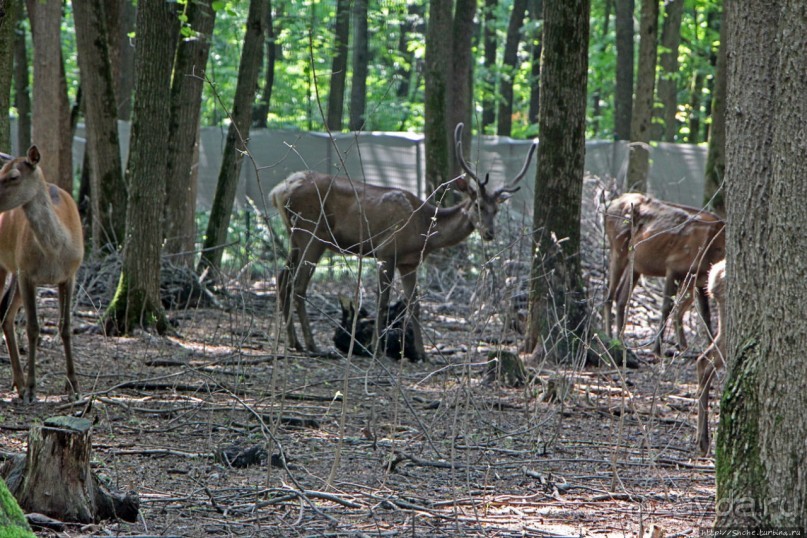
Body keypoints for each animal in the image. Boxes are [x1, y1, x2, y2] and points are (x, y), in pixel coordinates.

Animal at [0, 144, 84, 400]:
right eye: (0, 172)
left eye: (13, 176)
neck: (54, 252)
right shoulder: (27, 273)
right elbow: (33, 328)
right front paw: (31, 388)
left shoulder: (70, 275)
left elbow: (65, 327)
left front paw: (73, 386)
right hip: (7, 266)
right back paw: (20, 384)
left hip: (16, 274)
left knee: (6, 316)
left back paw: (17, 382)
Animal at [274, 124, 540, 360]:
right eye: (477, 205)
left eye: (496, 209)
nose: (489, 233)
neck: (422, 230)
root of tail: (279, 191)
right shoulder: (386, 251)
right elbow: (382, 302)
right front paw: (376, 350)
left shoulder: (409, 262)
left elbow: (415, 305)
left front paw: (423, 354)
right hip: (312, 233)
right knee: (298, 285)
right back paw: (313, 346)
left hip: (295, 237)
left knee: (282, 278)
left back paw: (295, 343)